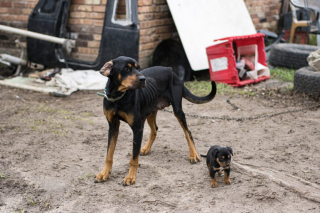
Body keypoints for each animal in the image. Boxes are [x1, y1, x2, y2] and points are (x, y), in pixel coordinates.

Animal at [94, 55, 216, 186]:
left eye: (138, 68)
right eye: (126, 69)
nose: (143, 79)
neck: (118, 97)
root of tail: (171, 71)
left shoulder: (137, 128)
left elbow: (134, 158)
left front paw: (130, 177)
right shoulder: (113, 125)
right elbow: (109, 153)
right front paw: (104, 173)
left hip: (177, 110)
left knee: (188, 132)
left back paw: (193, 155)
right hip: (150, 111)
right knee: (155, 130)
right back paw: (145, 148)